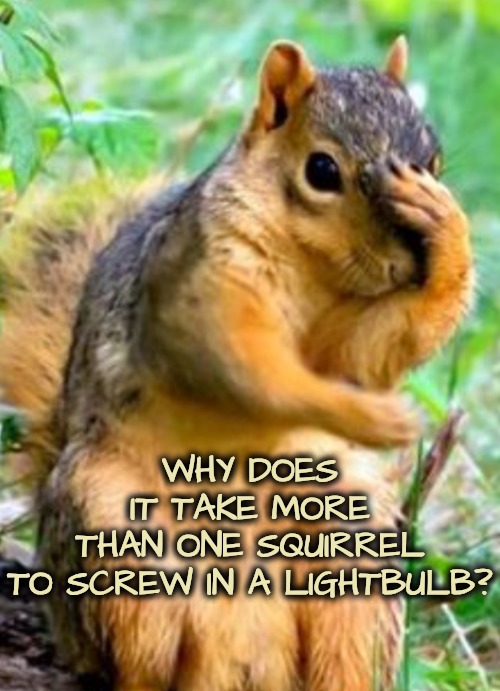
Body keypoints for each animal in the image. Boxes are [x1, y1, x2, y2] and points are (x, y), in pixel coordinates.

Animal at [0, 36, 473, 691]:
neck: (309, 265)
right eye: (322, 171)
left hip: (354, 542)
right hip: (115, 531)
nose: (406, 266)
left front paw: (447, 227)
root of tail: (243, 657)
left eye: (433, 159)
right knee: (140, 658)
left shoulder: (342, 334)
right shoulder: (189, 284)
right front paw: (379, 417)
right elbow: (238, 365)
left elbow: (363, 355)